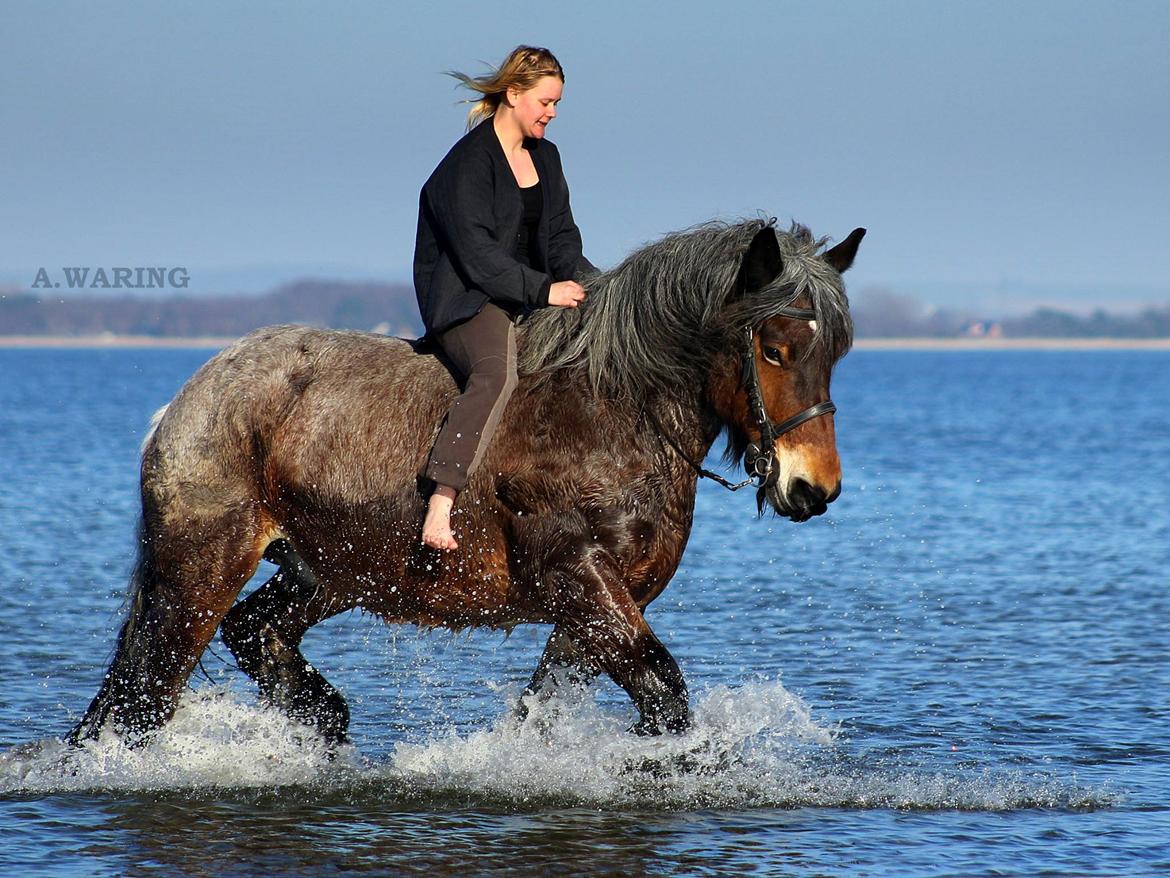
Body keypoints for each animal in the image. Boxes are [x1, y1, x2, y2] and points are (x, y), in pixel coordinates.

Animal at [68, 221, 865, 749]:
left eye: (837, 350)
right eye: (774, 347)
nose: (813, 488)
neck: (614, 411)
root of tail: (185, 402)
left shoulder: (608, 603)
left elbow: (545, 709)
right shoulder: (581, 580)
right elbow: (663, 692)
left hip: (331, 571)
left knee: (251, 634)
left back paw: (322, 716)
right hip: (200, 570)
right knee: (144, 697)